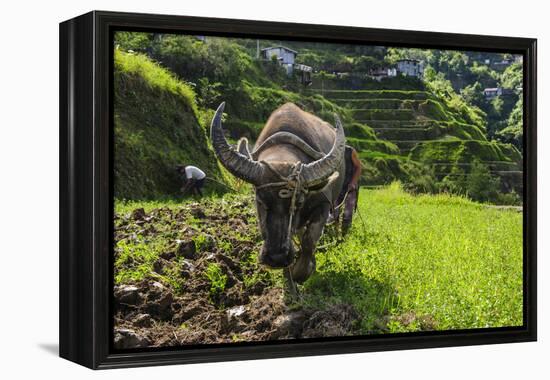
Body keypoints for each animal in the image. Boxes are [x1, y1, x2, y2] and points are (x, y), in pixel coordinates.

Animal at [211, 102, 344, 286]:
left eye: (299, 203)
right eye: (260, 200)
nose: (277, 258)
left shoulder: (324, 204)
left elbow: (309, 240)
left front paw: (302, 271)